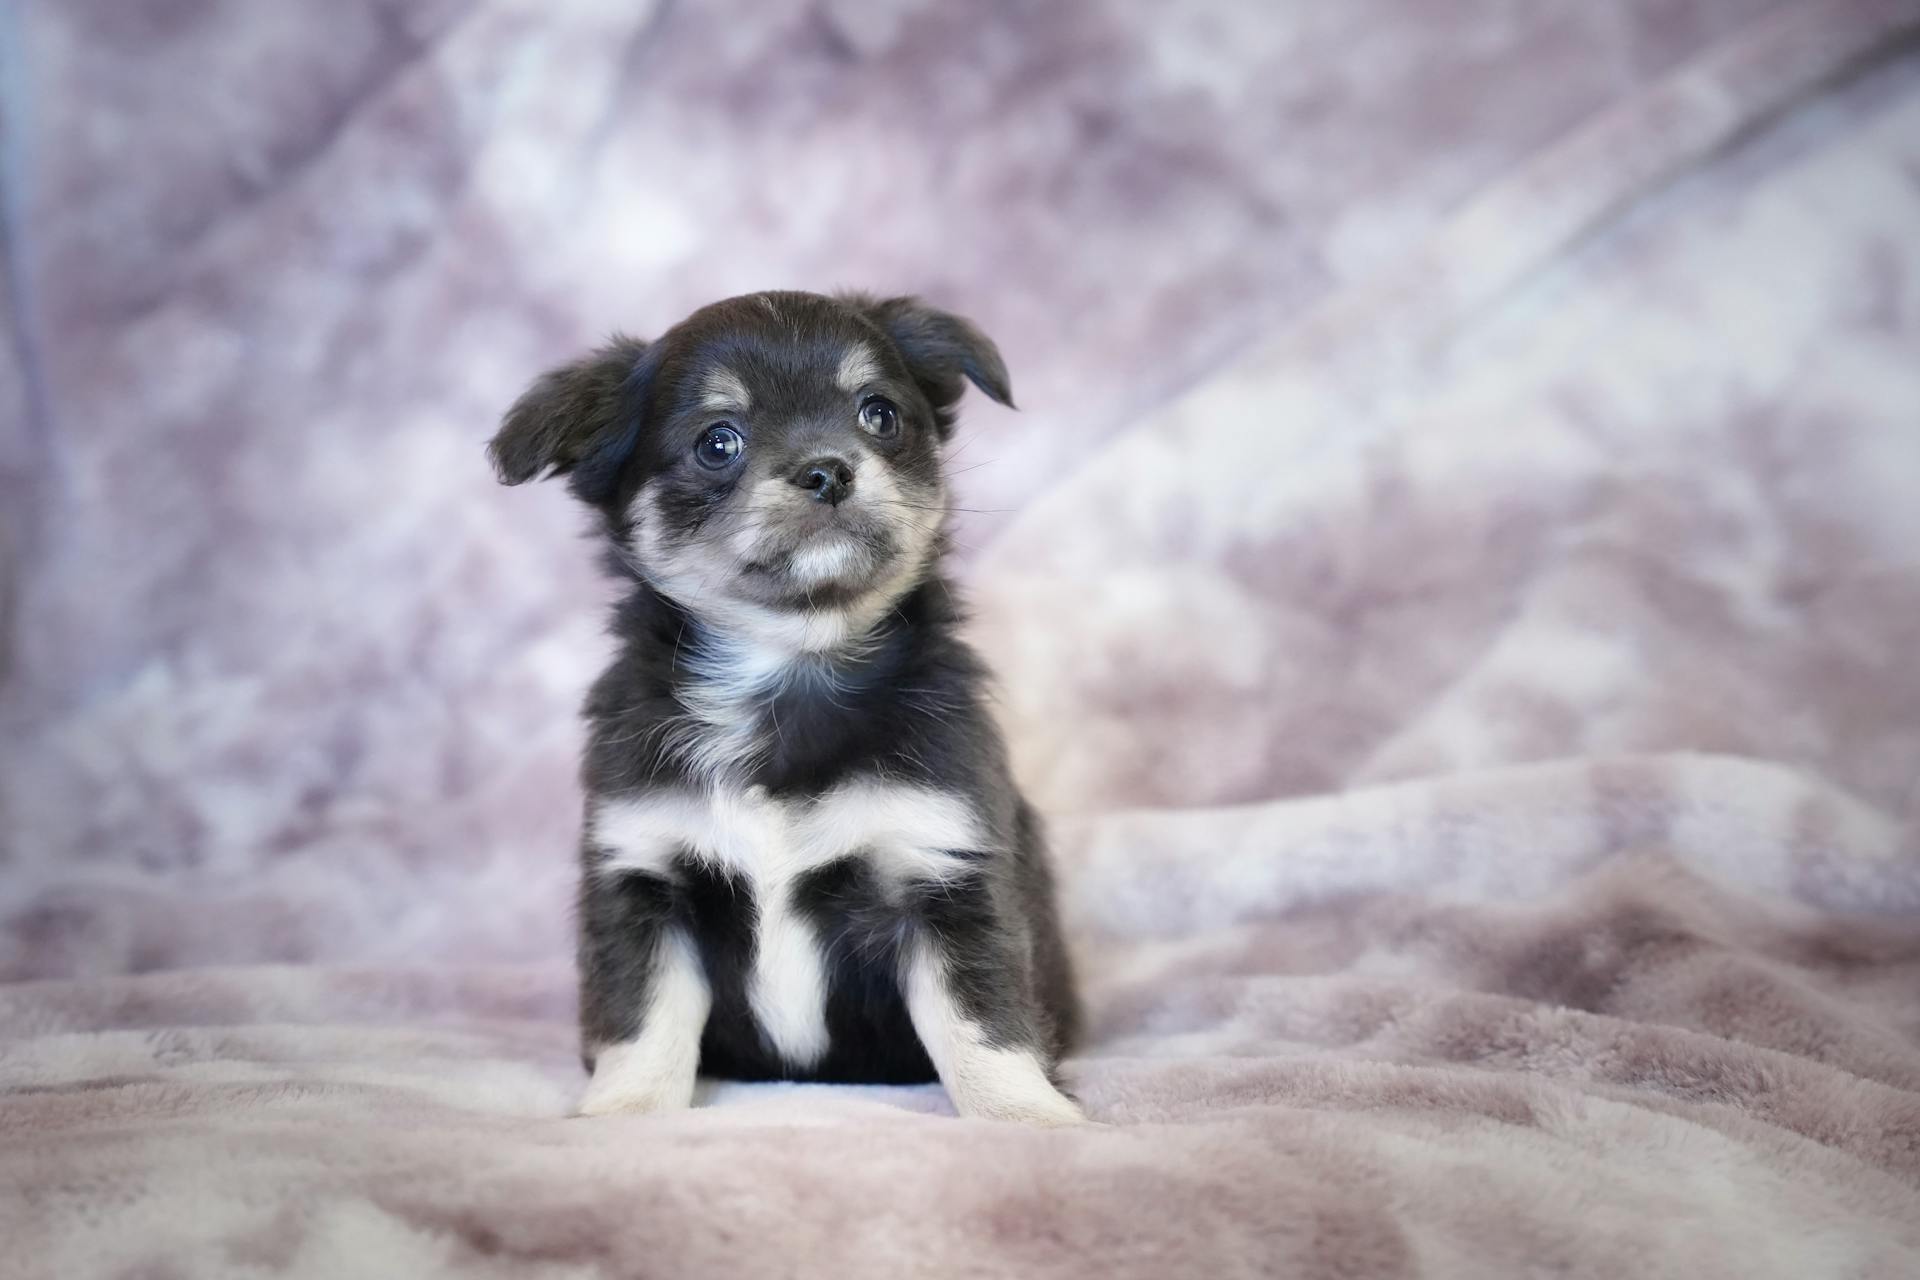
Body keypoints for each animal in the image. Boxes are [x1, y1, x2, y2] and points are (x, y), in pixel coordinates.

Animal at [491, 289, 1082, 1120]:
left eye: (879, 414)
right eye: (718, 443)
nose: (827, 470)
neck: (787, 668)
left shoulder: (943, 870)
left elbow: (982, 1021)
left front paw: (1026, 1116)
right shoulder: (643, 879)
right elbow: (644, 1019)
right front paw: (626, 1112)